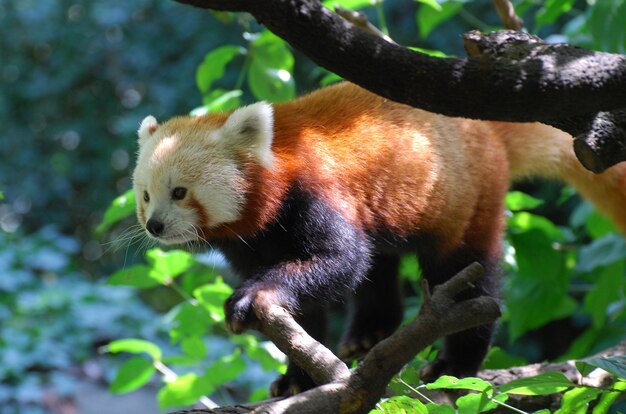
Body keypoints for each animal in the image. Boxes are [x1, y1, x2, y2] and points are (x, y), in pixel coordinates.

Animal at [134, 81, 624, 394]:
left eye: (179, 192)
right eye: (145, 195)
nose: (154, 225)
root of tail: (484, 127)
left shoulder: (313, 193)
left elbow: (340, 260)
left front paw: (254, 297)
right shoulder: (252, 242)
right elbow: (313, 305)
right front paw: (296, 378)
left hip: (467, 199)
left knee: (465, 278)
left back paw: (457, 360)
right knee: (380, 263)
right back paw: (369, 333)